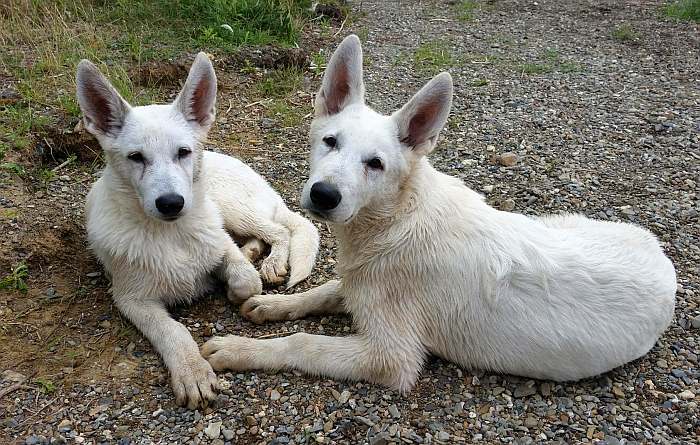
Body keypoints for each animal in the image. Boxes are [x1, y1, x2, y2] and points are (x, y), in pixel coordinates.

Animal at [76, 52, 318, 406]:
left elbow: (247, 282)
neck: (173, 235)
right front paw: (192, 371)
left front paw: (232, 283)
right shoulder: (132, 300)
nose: (171, 203)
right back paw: (253, 251)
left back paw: (270, 261)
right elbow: (172, 331)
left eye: (183, 152)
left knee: (278, 231)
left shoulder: (218, 241)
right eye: (136, 157)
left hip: (229, 208)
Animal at [202, 35, 680, 392]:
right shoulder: (363, 285)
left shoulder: (391, 357)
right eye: (330, 141)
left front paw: (240, 349)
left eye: (375, 164)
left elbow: (303, 343)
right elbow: (325, 291)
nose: (323, 195)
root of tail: (659, 254)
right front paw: (274, 305)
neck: (396, 218)